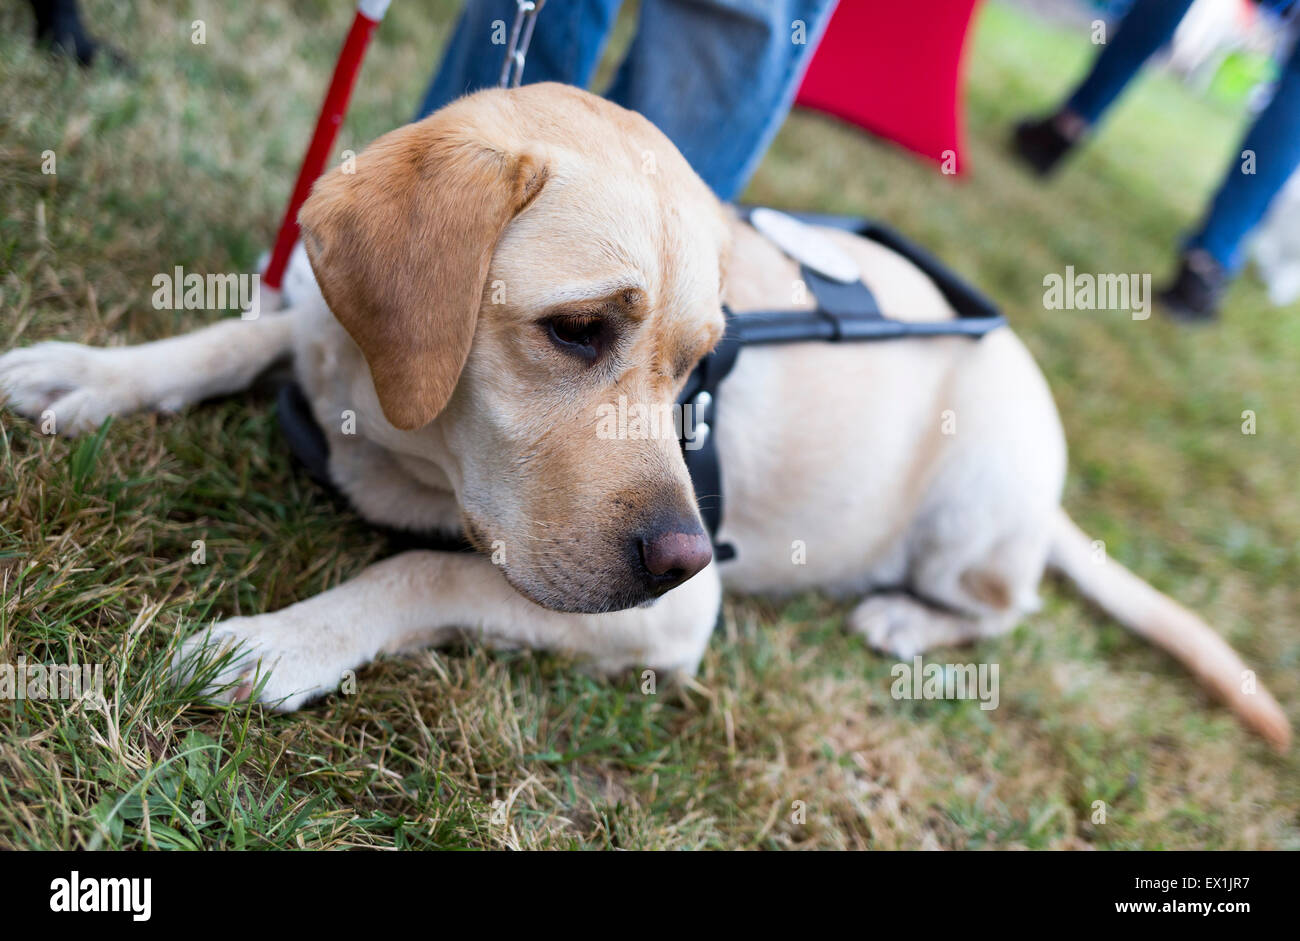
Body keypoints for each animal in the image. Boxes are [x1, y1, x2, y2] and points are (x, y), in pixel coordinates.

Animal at [5, 86, 1289, 748]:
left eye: (698, 362)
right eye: (578, 329)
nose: (683, 552)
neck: (394, 425)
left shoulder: (666, 618)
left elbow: (420, 571)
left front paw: (278, 641)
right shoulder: (325, 323)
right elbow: (238, 332)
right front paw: (93, 370)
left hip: (971, 509)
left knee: (1005, 603)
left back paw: (904, 618)